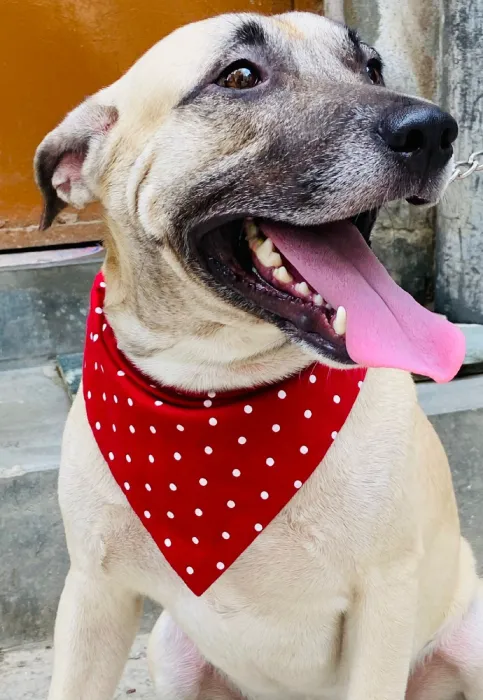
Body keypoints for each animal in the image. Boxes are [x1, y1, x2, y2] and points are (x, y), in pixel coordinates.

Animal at [35, 10, 483, 700]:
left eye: (371, 67)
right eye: (240, 76)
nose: (435, 131)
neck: (216, 389)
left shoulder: (385, 600)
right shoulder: (93, 592)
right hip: (171, 649)